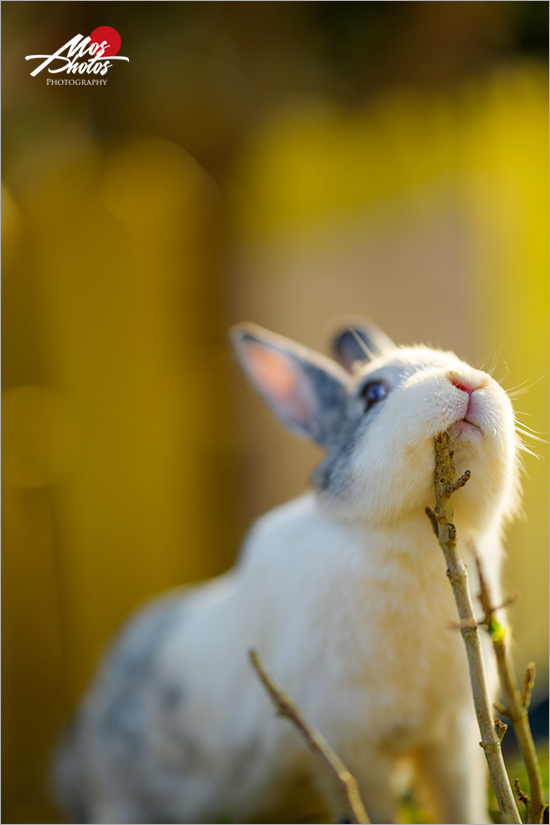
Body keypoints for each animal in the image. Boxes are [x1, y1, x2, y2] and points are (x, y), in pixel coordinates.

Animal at [54, 318, 524, 820]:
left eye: (452, 358)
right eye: (372, 393)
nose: (467, 382)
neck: (418, 539)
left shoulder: (454, 736)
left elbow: (460, 803)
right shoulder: (352, 750)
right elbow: (373, 808)